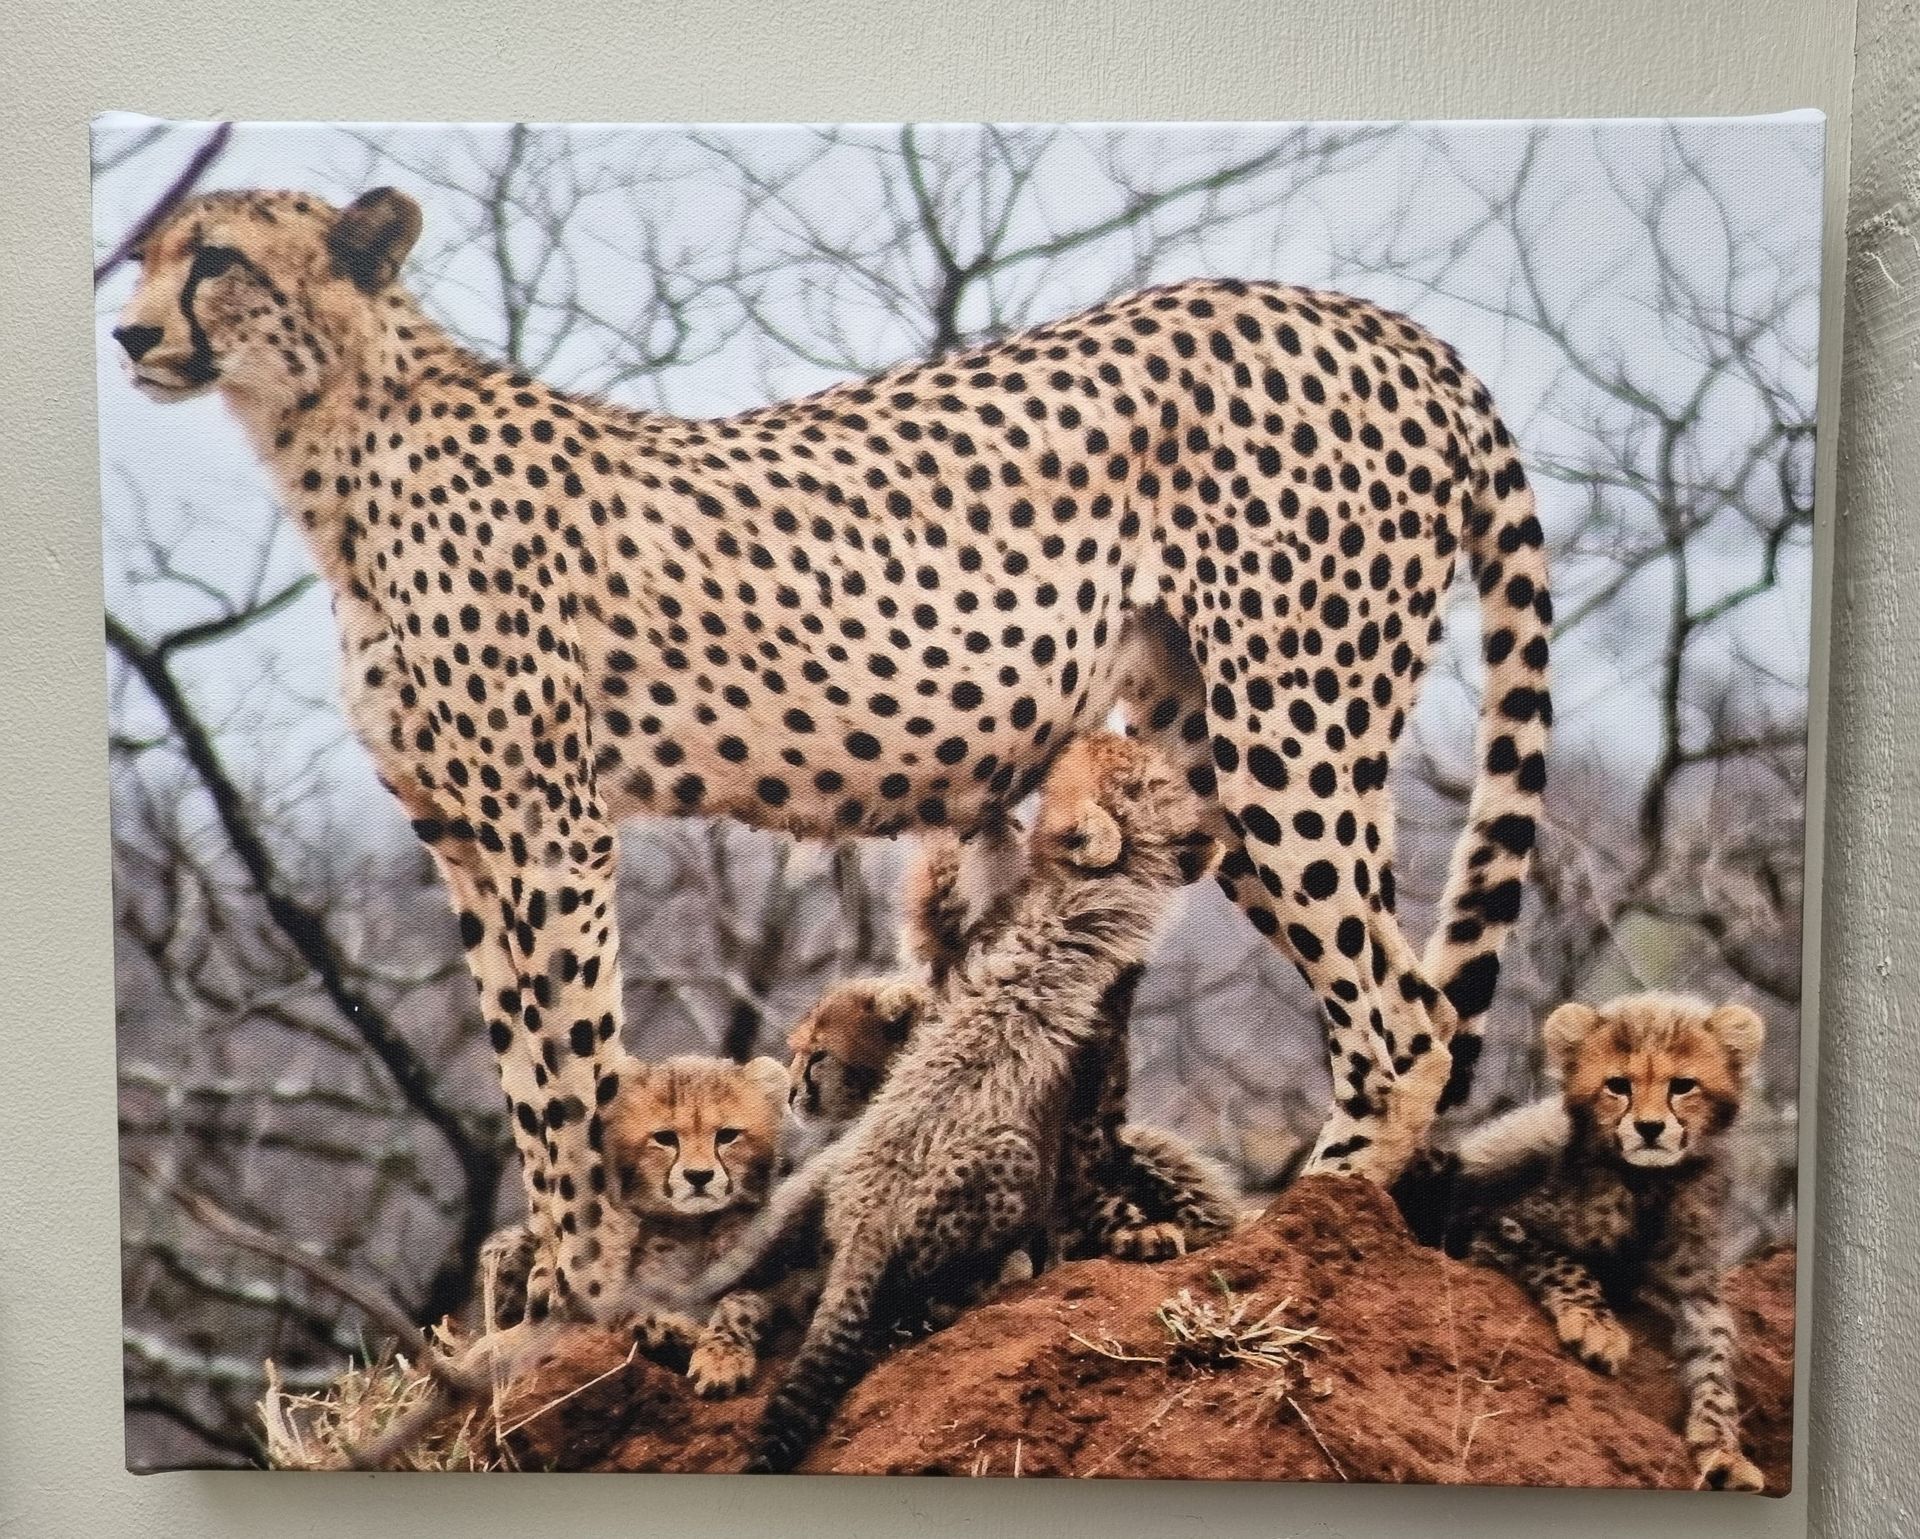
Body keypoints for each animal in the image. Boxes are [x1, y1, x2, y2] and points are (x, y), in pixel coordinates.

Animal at [112, 183, 1551, 1323]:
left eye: (217, 255)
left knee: (1404, 1009)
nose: (128, 331)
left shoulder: (548, 822)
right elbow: (522, 1063)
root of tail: (1391, 327)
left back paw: (1309, 1227)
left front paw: (587, 1275)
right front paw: (540, 1269)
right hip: (1203, 752)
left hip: (1292, 727)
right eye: (145, 252)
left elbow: (573, 1059)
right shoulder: (461, 834)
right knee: (1392, 985)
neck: (340, 442)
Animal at [1396, 993, 1769, 1492]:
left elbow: (1717, 1365)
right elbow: (1566, 1263)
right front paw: (1597, 1326)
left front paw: (1724, 1447)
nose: (1649, 1128)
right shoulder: (1490, 1227)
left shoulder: (1699, 1295)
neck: (1648, 1184)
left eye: (1683, 1086)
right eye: (1618, 1085)